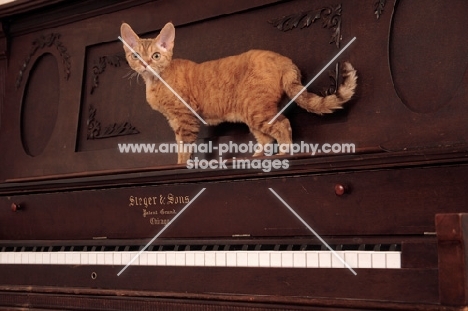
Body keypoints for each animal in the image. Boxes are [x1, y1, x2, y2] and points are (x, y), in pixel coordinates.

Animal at [120, 22, 358, 165]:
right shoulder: (175, 121)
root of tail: (284, 60)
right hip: (252, 113)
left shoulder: (185, 118)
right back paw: (257, 156)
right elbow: (179, 145)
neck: (154, 81)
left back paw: (284, 153)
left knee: (283, 125)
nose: (145, 64)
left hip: (256, 109)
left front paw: (180, 165)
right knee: (266, 138)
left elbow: (185, 147)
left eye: (156, 56)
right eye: (135, 56)